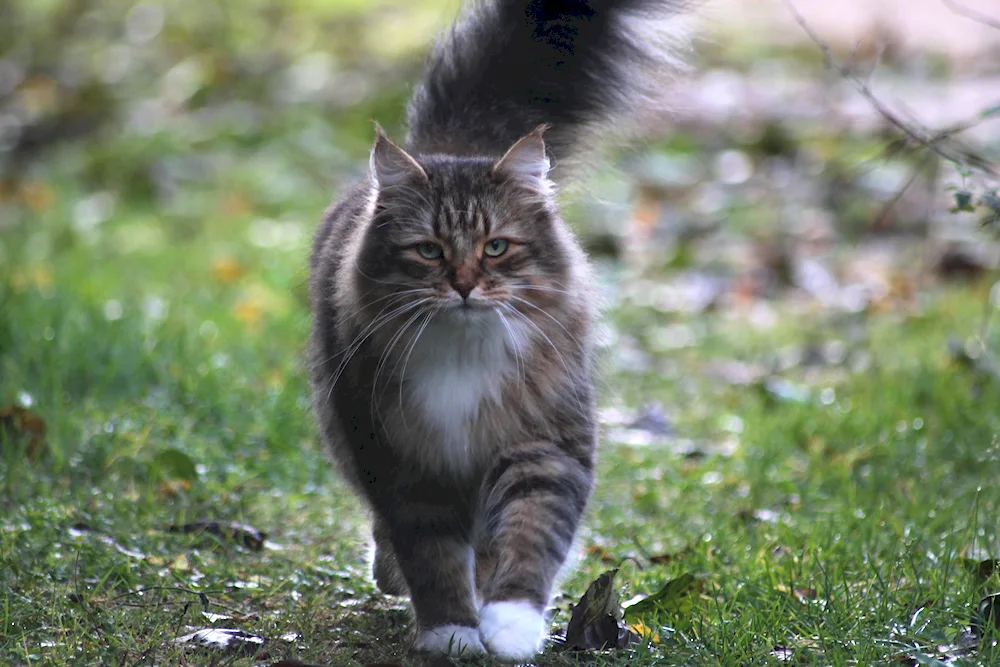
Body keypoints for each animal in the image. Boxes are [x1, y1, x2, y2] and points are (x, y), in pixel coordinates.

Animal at [308, 0, 692, 660]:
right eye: (430, 251)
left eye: (495, 247)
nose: (464, 286)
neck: (463, 353)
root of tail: (456, 148)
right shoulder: (405, 461)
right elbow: (431, 553)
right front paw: (453, 633)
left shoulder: (544, 446)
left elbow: (530, 535)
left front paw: (511, 626)